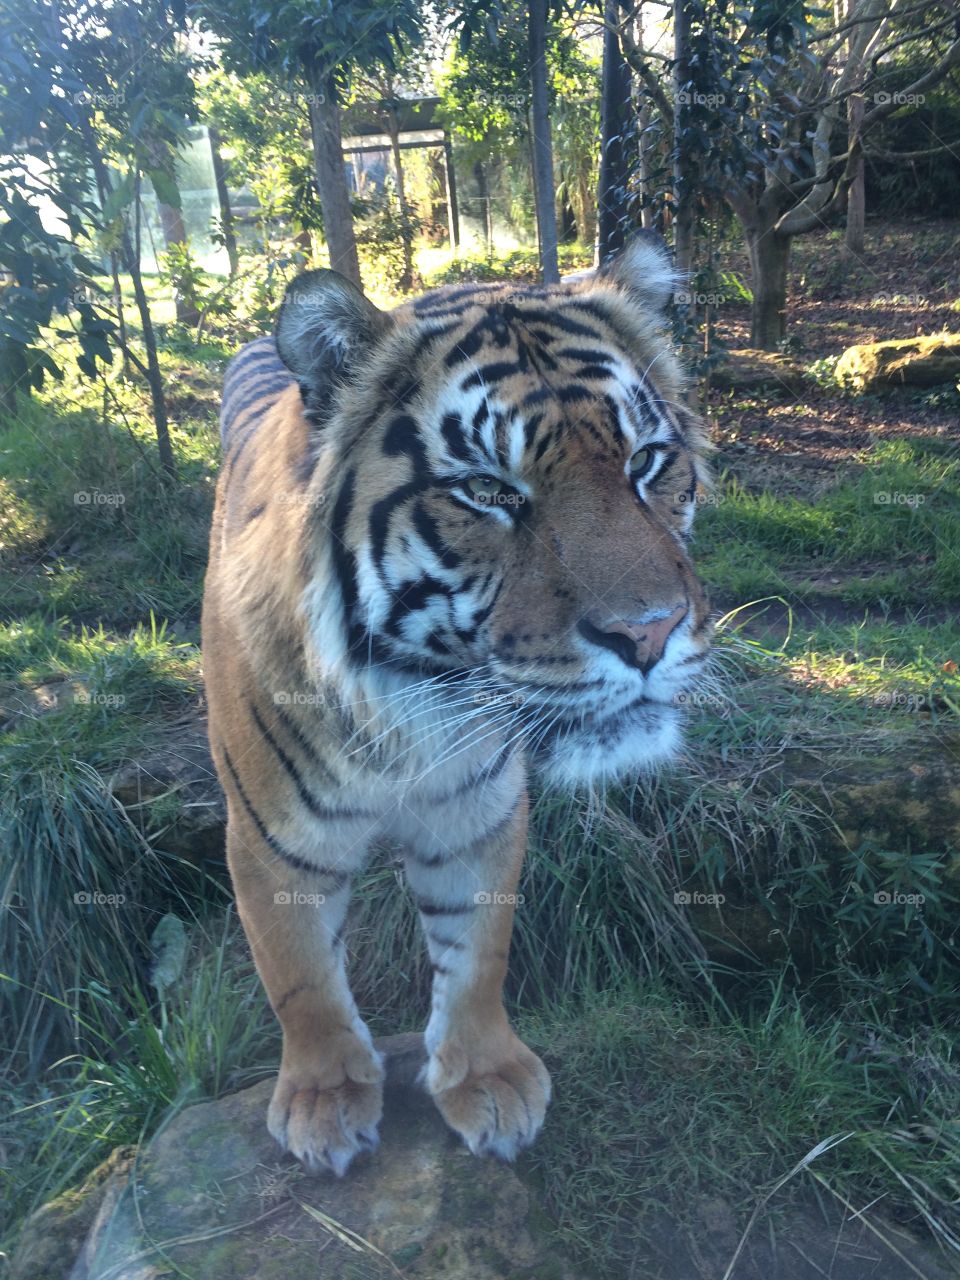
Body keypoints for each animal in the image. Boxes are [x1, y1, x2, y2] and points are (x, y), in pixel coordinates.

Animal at [203, 235, 716, 1172]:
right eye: (490, 490)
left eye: (645, 462)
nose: (650, 633)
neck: (411, 699)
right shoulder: (271, 839)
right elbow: (299, 975)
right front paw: (324, 1102)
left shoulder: (474, 812)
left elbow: (477, 955)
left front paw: (487, 1082)